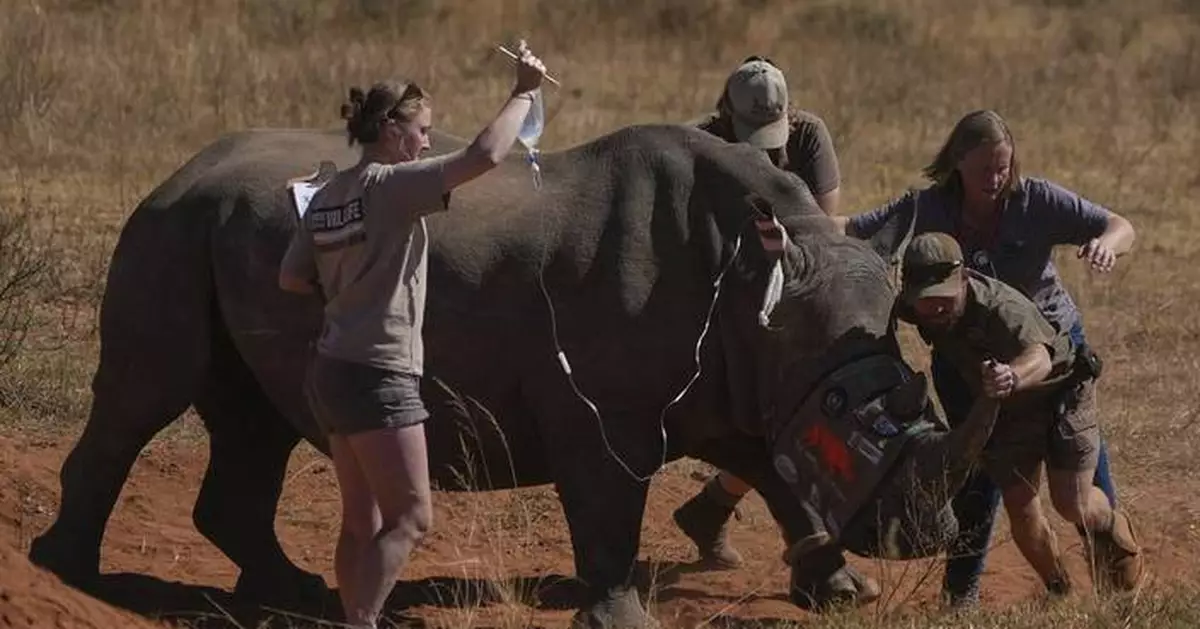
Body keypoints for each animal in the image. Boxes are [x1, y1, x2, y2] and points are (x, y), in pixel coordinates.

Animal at [29, 122, 1000, 628]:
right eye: (849, 409)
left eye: (907, 393)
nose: (925, 536)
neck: (762, 280)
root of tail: (177, 169)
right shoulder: (611, 410)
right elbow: (610, 504)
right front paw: (622, 621)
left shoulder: (752, 383)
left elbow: (784, 478)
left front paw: (841, 592)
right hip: (171, 225)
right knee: (146, 395)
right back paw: (70, 578)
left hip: (223, 231)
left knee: (254, 417)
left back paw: (288, 595)